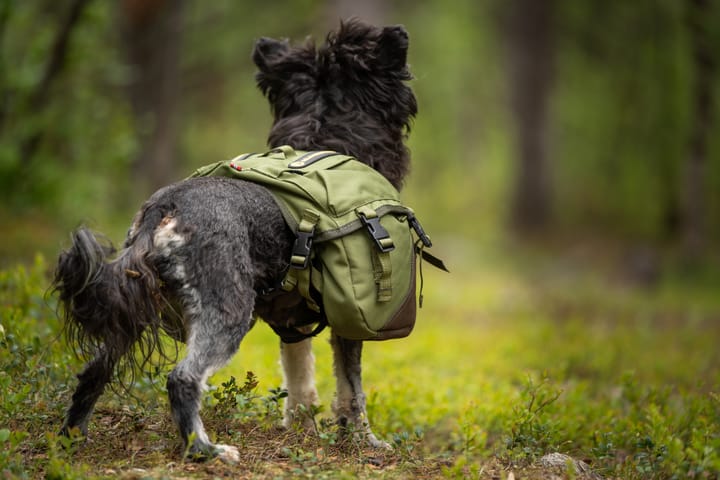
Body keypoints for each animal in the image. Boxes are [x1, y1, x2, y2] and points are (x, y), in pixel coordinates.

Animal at [52, 18, 416, 462]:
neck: (324, 143)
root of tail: (165, 207)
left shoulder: (294, 320)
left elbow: (299, 378)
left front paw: (301, 429)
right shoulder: (349, 319)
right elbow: (352, 389)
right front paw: (364, 440)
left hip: (130, 314)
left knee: (92, 372)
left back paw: (72, 438)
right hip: (228, 309)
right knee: (183, 378)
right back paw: (205, 449)